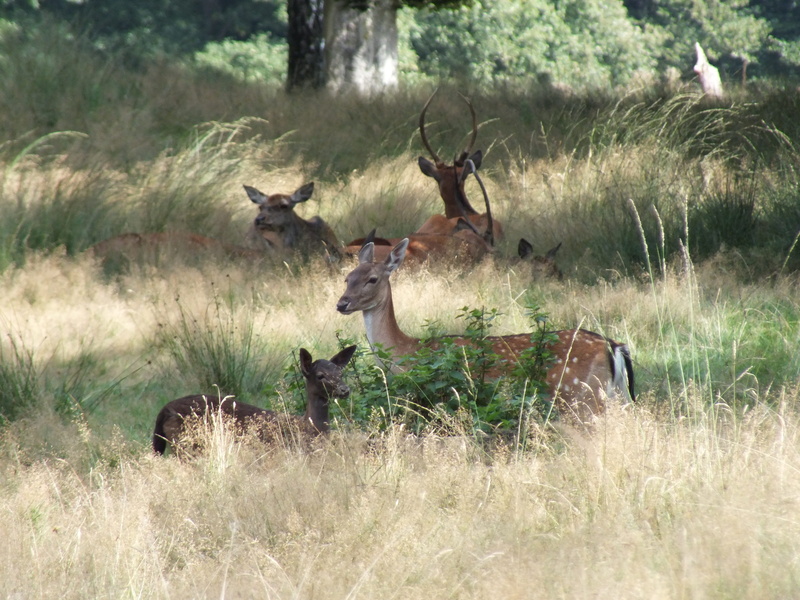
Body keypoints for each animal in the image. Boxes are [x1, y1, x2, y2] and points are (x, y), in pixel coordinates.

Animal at [152, 345, 357, 455]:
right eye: (320, 375)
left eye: (340, 372)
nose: (345, 390)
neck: (309, 427)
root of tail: (163, 410)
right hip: (185, 443)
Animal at [336, 239, 634, 420]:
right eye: (347, 278)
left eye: (372, 279)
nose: (342, 303)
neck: (407, 353)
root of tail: (613, 346)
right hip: (616, 394)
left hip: (580, 394)